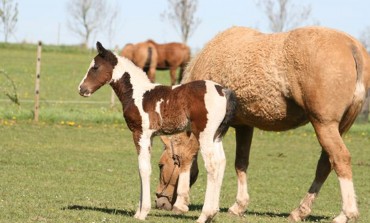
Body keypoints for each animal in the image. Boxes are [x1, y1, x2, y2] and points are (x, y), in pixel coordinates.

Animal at [77, 42, 237, 223]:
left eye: (95, 67)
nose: (81, 89)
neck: (137, 94)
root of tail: (223, 90)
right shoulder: (151, 136)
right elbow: (143, 168)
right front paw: (138, 211)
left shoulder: (140, 134)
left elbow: (143, 169)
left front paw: (142, 212)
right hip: (217, 136)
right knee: (222, 162)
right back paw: (213, 212)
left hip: (204, 135)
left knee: (212, 166)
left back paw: (204, 215)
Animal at [153, 26, 370, 223]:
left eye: (161, 165)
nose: (160, 202)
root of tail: (351, 45)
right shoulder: (244, 126)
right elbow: (240, 163)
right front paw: (239, 205)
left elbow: (188, 155)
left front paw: (182, 202)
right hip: (336, 127)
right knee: (325, 164)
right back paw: (300, 211)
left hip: (324, 124)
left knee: (340, 159)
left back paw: (346, 213)